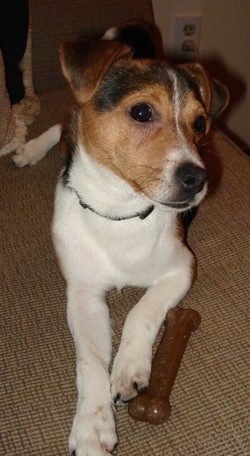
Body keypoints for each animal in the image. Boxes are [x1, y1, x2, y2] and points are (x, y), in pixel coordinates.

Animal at [13, 20, 229, 452]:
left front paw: (129, 368)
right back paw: (29, 149)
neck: (121, 214)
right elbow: (91, 360)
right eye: (142, 111)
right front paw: (92, 427)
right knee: (64, 125)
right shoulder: (82, 293)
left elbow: (141, 311)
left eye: (199, 124)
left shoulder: (182, 267)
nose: (198, 179)